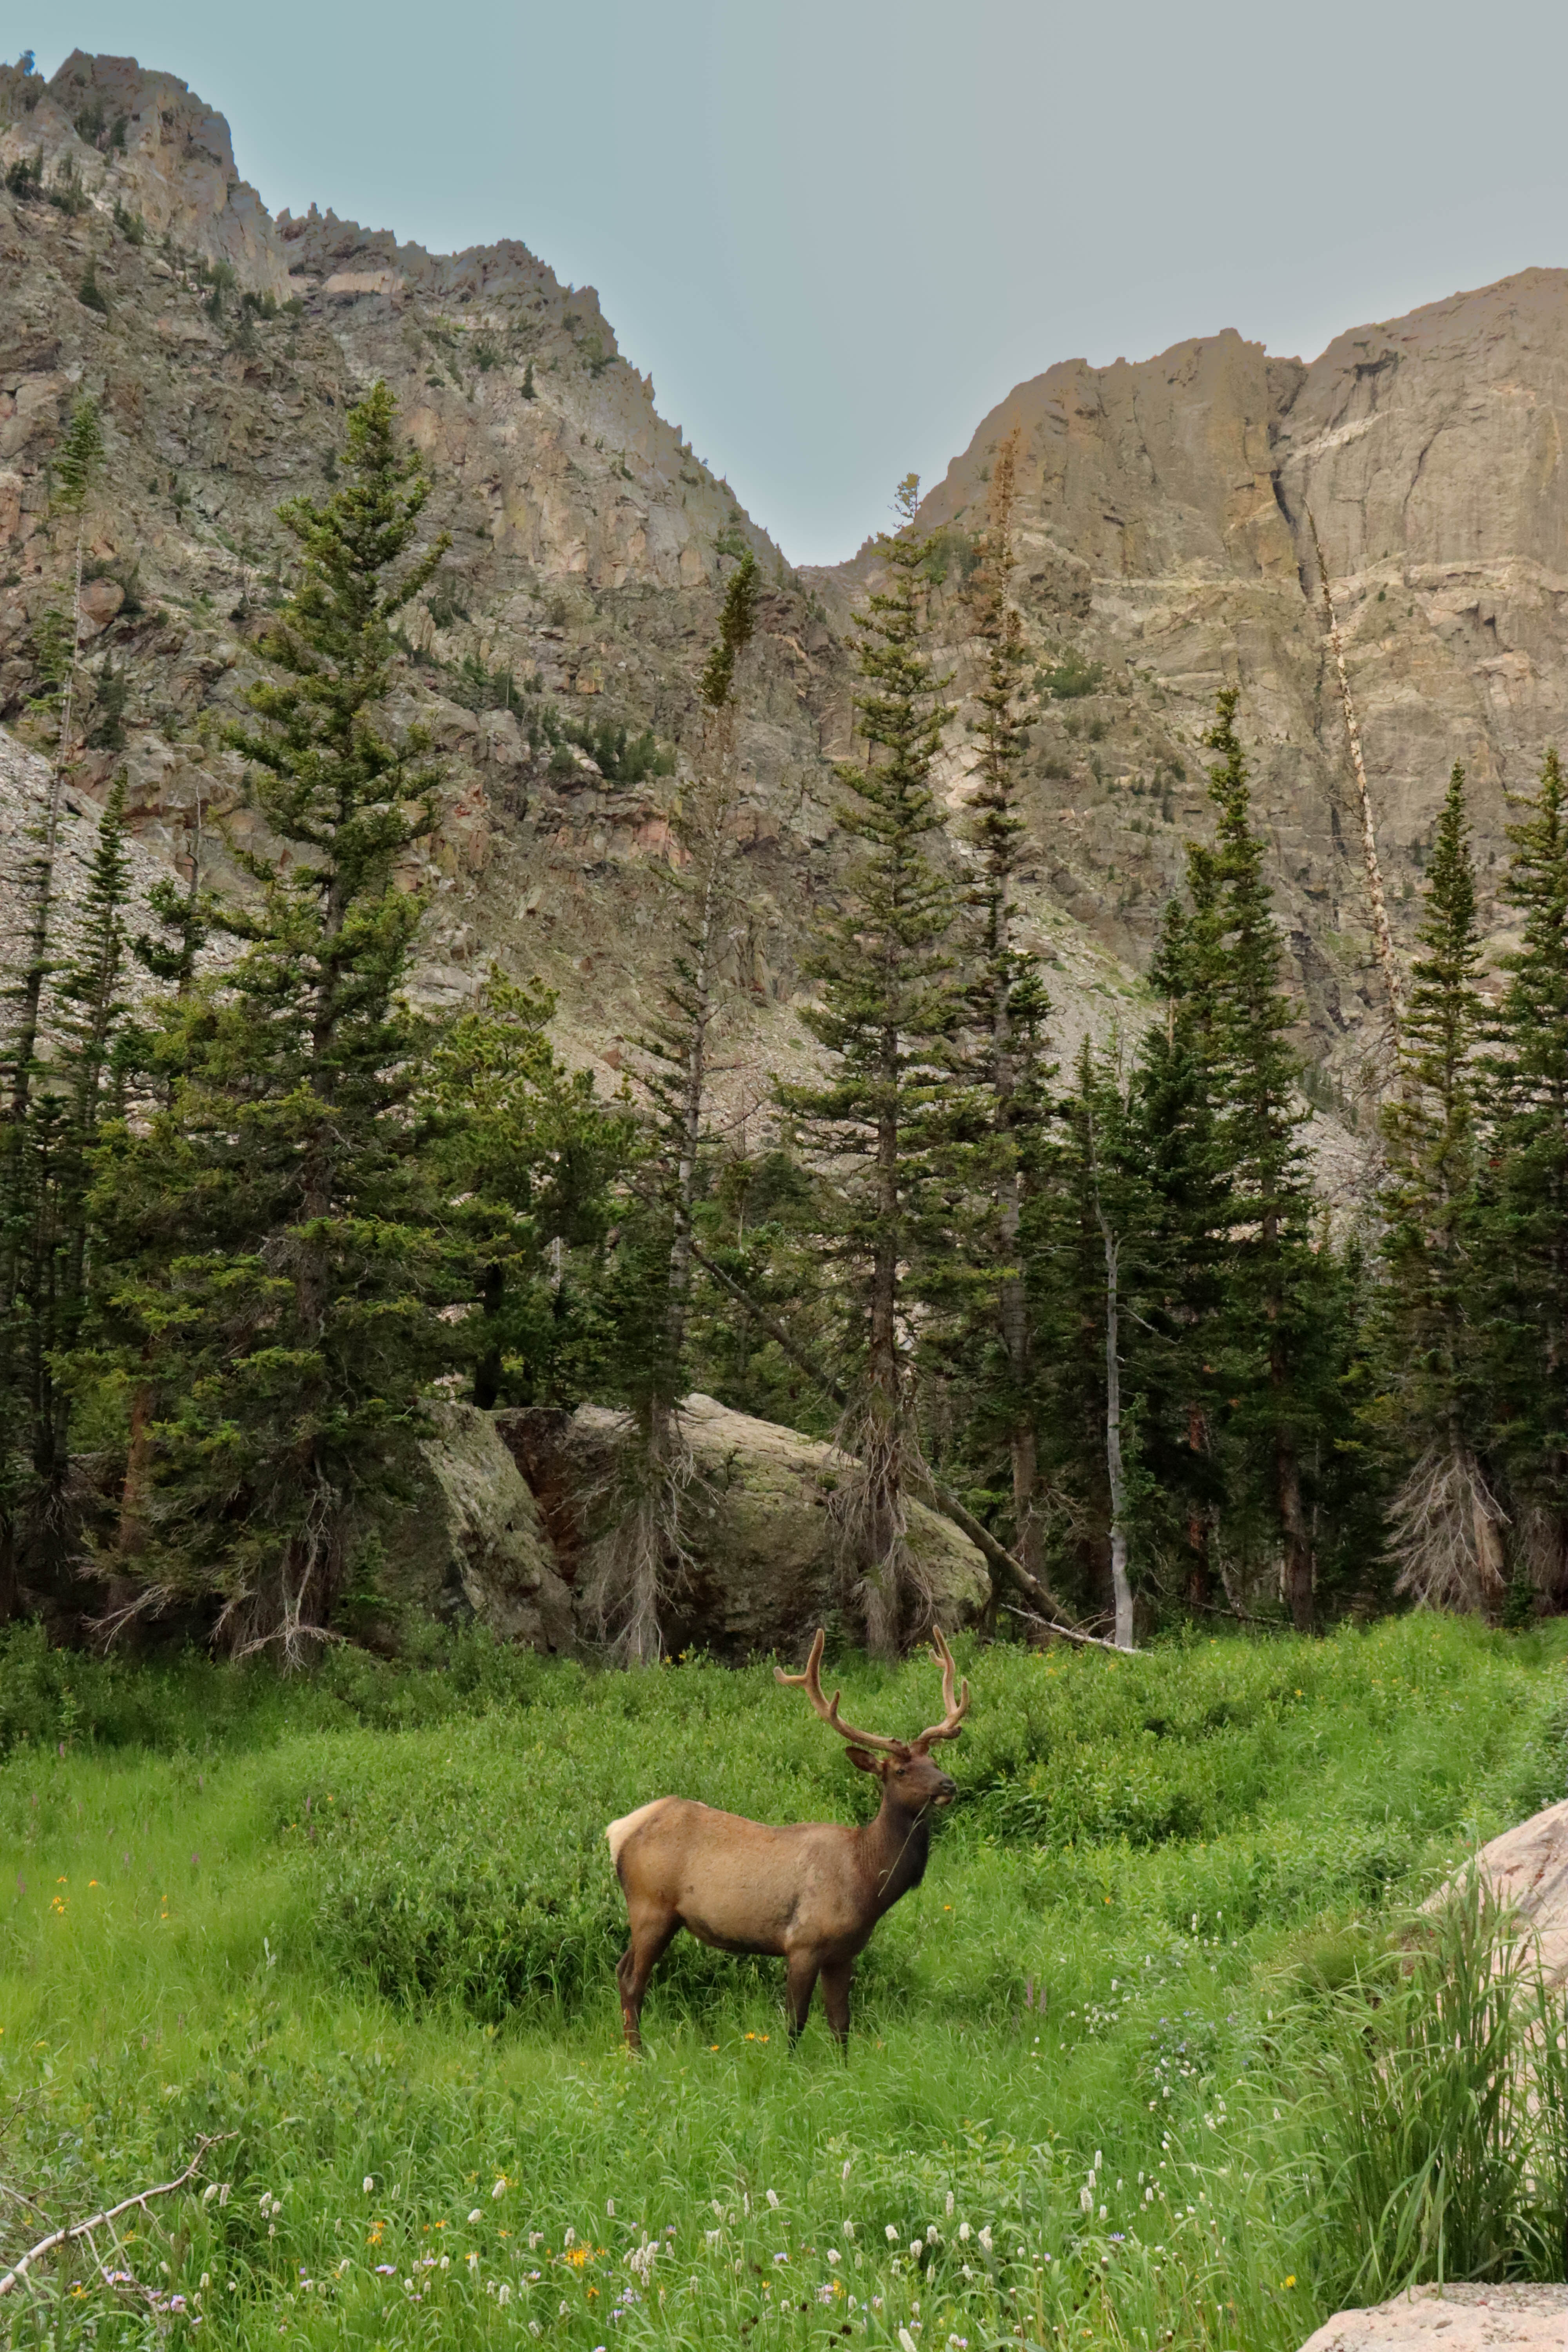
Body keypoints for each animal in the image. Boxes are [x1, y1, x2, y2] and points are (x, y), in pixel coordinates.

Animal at [604, 1625, 970, 2052]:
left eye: (934, 1761)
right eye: (900, 1770)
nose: (948, 1785)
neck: (865, 1879)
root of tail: (619, 1831)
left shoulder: (843, 1953)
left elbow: (841, 2024)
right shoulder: (802, 1944)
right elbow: (795, 2022)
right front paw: (789, 2065)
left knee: (621, 1970)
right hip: (651, 1906)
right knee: (633, 1979)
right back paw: (637, 2055)